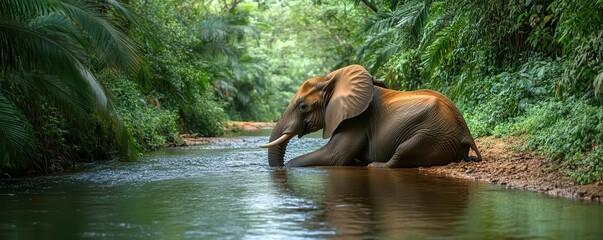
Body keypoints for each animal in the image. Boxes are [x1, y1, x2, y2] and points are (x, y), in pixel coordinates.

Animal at [260, 64, 482, 168]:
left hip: (431, 134)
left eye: (302, 107)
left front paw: (289, 166)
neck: (332, 78)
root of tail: (465, 133)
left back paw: (375, 166)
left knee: (403, 151)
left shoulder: (357, 119)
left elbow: (334, 156)